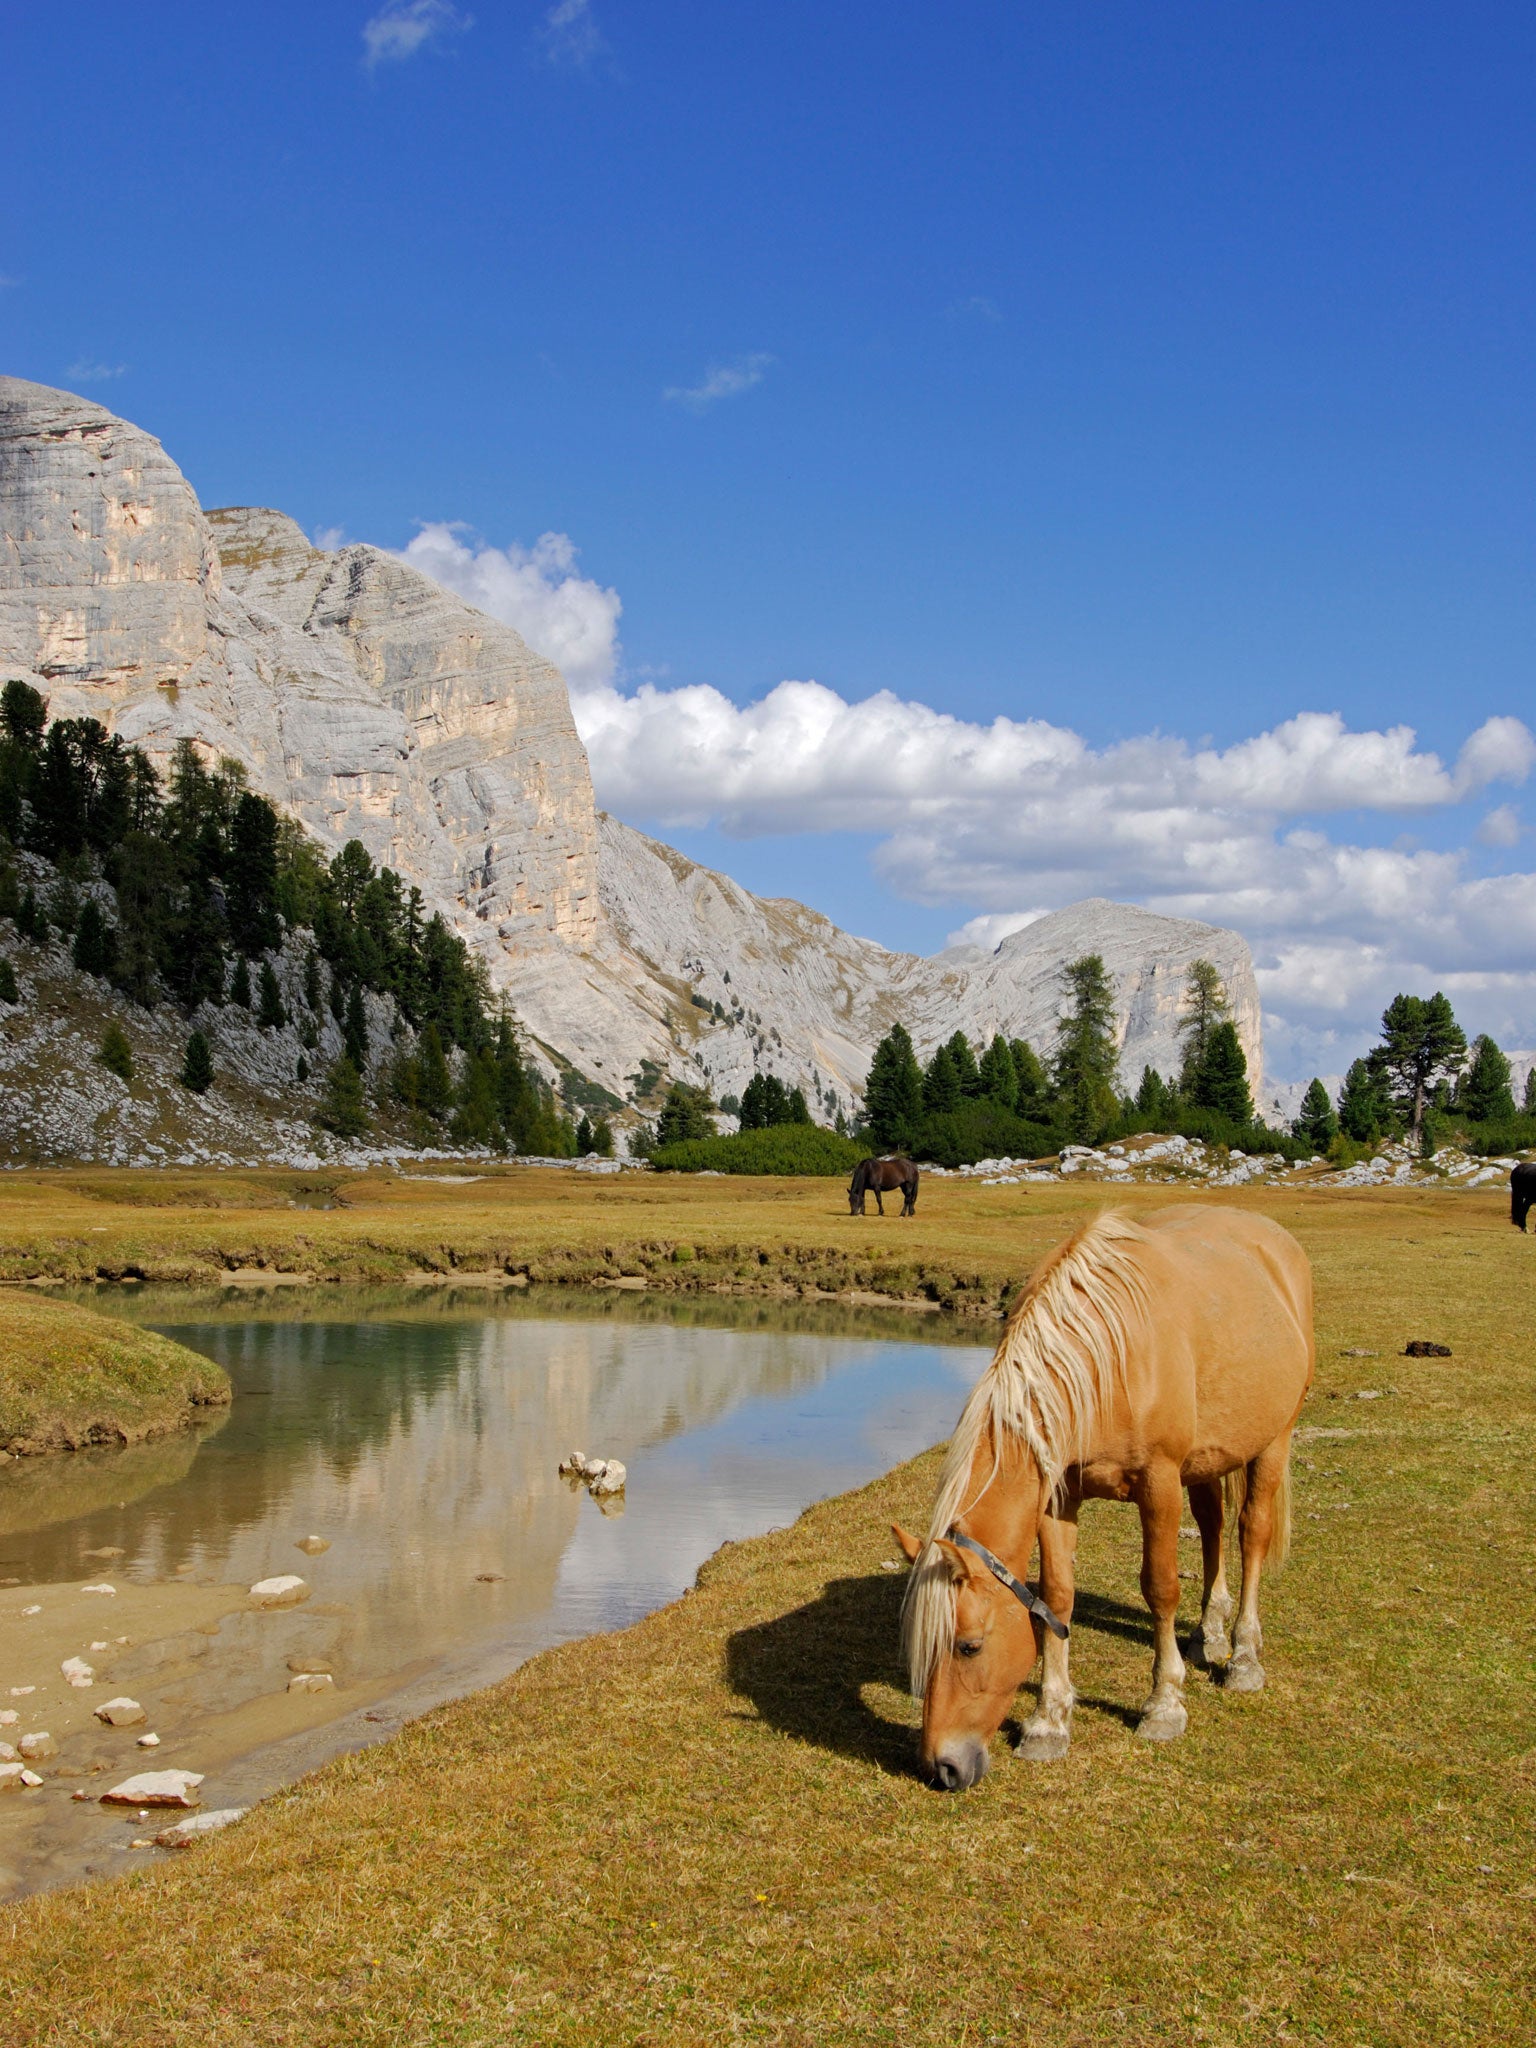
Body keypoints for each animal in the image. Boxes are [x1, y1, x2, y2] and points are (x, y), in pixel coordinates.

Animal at [897, 1204, 1318, 1785]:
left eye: (969, 1647)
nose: (943, 1768)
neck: (1103, 1362)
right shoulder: (1058, 1495)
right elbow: (1056, 1597)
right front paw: (1048, 1722)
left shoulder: (1159, 1484)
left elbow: (1161, 1588)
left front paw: (1164, 1705)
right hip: (1207, 1459)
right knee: (1212, 1526)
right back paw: (1209, 1632)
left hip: (1274, 1440)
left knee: (1251, 1532)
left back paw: (1243, 1656)